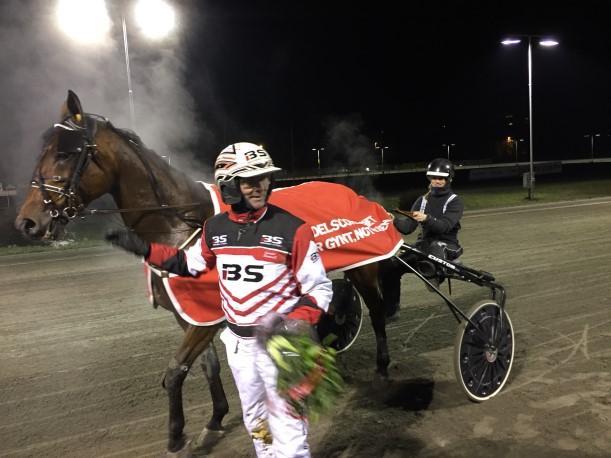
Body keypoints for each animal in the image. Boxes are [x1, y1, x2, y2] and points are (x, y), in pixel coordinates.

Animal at [16, 91, 394, 456]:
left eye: (66, 153)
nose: (27, 222)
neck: (180, 225)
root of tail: (356, 192)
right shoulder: (191, 314)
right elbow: (205, 366)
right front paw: (213, 421)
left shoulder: (205, 319)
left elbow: (174, 371)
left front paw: (175, 436)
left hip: (363, 269)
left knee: (375, 313)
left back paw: (381, 368)